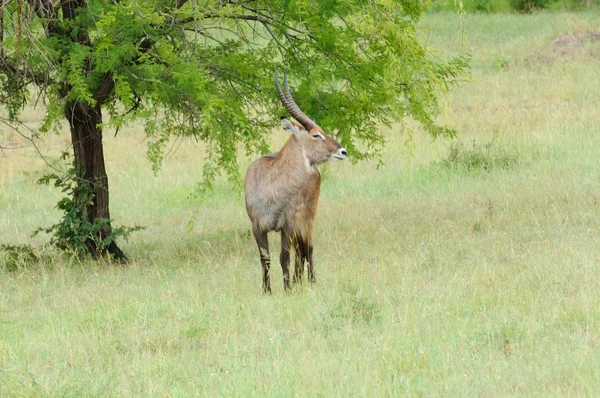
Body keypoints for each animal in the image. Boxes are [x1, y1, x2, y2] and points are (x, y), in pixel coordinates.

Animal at [244, 69, 346, 292]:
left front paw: (287, 289)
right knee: (301, 250)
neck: (272, 188)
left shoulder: (288, 225)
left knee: (308, 248)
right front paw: (267, 291)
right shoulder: (257, 226)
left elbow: (284, 257)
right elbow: (265, 259)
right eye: (316, 135)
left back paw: (310, 281)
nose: (343, 151)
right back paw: (300, 280)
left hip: (308, 219)